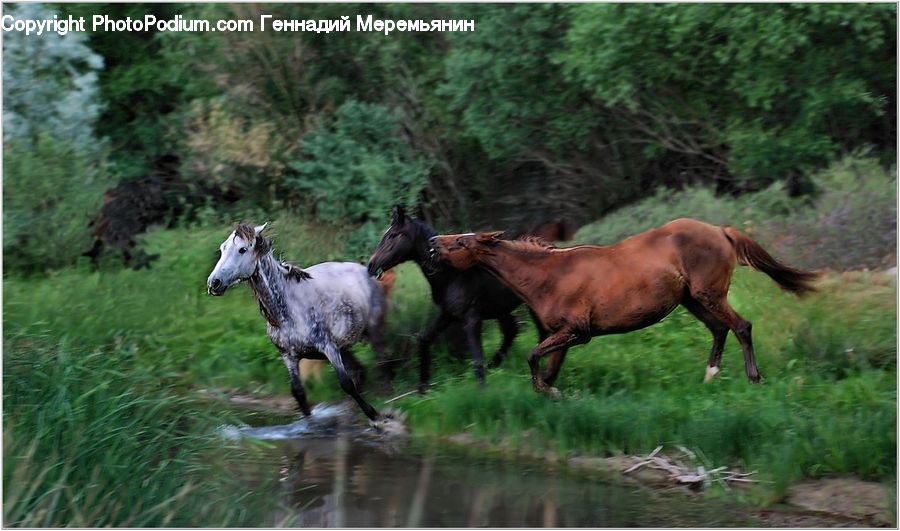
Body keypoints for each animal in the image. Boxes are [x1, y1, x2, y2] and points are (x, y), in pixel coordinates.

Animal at [206, 222, 391, 422]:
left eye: (242, 249)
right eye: (222, 248)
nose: (214, 283)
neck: (288, 310)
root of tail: (369, 272)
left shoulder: (328, 347)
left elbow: (345, 383)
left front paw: (374, 415)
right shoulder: (289, 356)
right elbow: (299, 393)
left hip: (373, 332)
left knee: (382, 363)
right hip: (344, 348)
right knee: (360, 372)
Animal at [367, 205, 556, 392]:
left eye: (392, 235)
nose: (371, 265)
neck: (451, 275)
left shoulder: (472, 318)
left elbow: (477, 360)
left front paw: (482, 392)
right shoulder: (447, 314)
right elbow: (424, 340)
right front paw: (422, 388)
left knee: (540, 332)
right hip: (500, 309)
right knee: (512, 331)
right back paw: (496, 365)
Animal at [429, 218, 821, 394]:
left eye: (461, 242)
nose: (433, 241)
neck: (548, 275)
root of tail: (722, 231)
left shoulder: (577, 331)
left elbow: (532, 356)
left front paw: (547, 391)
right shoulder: (563, 335)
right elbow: (546, 365)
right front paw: (550, 393)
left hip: (709, 294)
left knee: (741, 326)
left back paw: (753, 378)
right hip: (691, 299)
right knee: (720, 328)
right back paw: (710, 375)